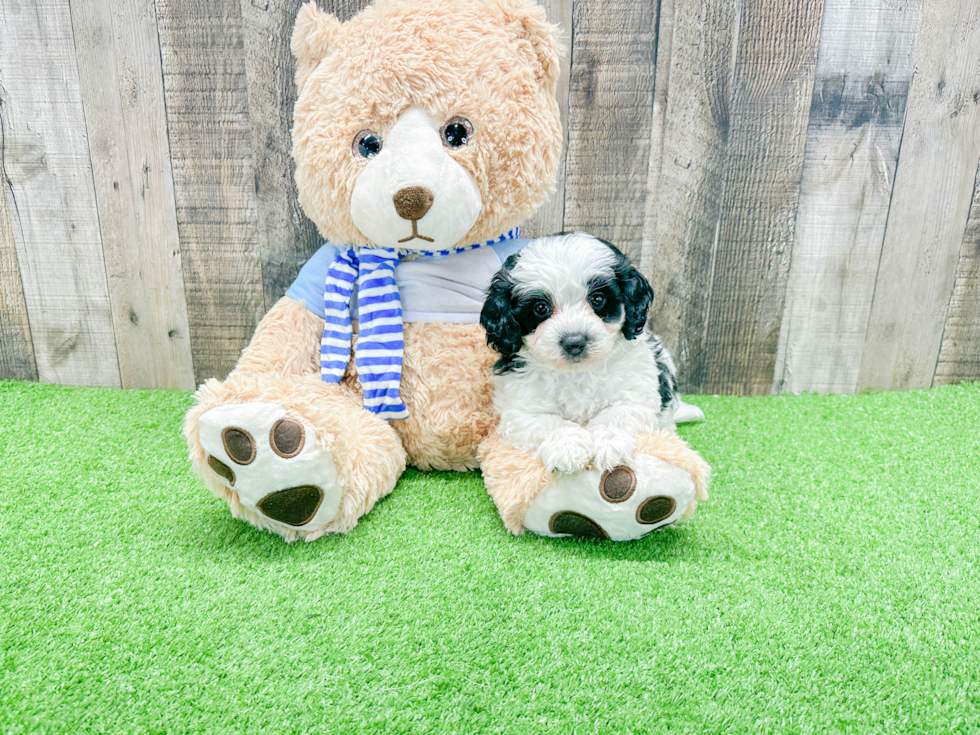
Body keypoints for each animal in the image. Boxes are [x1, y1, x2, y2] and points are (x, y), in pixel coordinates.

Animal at [482, 231, 688, 478]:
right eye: (540, 308)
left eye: (597, 299)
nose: (574, 342)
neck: (577, 373)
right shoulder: (520, 410)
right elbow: (549, 422)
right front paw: (567, 446)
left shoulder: (634, 397)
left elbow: (614, 415)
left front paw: (608, 443)